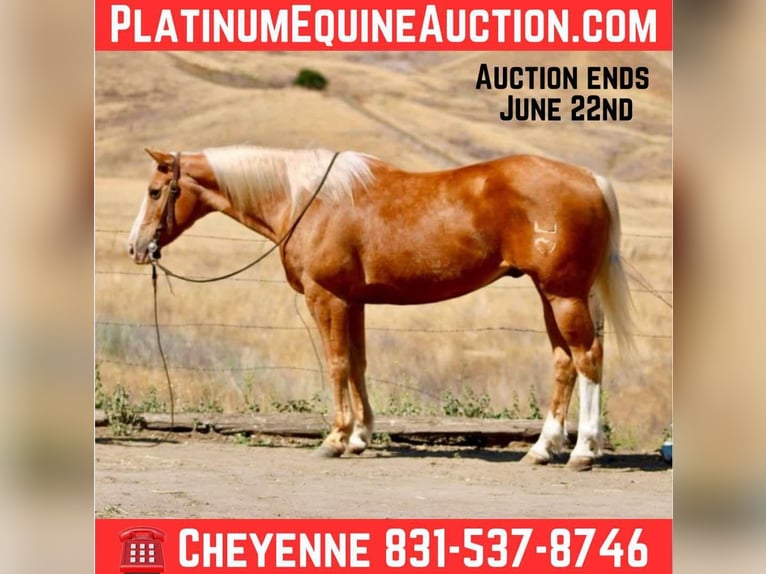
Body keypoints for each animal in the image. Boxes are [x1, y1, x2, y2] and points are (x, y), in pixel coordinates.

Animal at [128, 145, 634, 471]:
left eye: (155, 192)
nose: (135, 247)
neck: (305, 199)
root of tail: (590, 179)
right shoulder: (354, 302)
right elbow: (357, 364)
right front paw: (359, 437)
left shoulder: (326, 297)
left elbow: (335, 364)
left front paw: (335, 439)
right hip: (555, 295)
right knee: (565, 363)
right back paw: (543, 449)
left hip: (563, 295)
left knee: (587, 359)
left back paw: (583, 452)